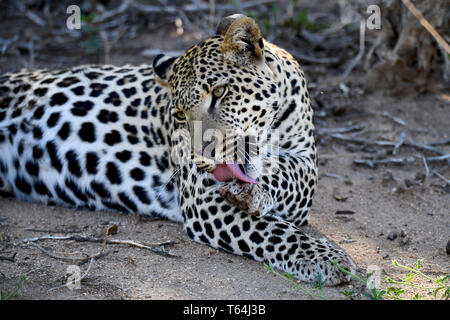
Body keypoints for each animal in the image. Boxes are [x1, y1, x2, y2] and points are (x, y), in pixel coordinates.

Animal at [0, 14, 356, 284]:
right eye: (181, 115)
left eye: (220, 92)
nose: (203, 154)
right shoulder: (202, 197)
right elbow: (273, 231)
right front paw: (325, 258)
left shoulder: (306, 162)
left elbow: (289, 177)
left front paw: (252, 192)